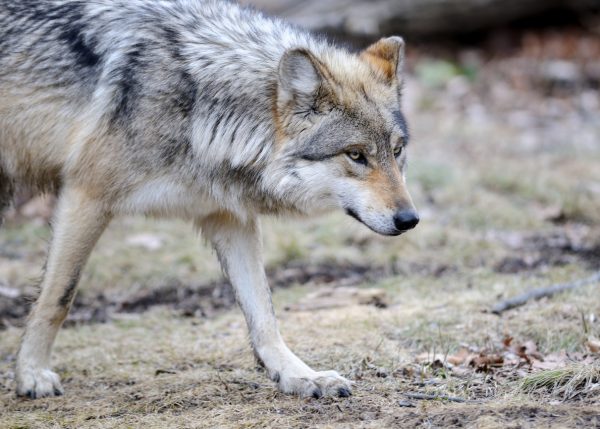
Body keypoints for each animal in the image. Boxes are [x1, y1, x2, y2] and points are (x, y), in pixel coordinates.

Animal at [0, 0, 420, 398]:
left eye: (397, 151)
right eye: (356, 155)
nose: (410, 220)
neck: (200, 108)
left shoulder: (230, 217)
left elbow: (264, 312)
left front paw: (298, 375)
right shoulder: (86, 194)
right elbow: (58, 297)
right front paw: (31, 374)